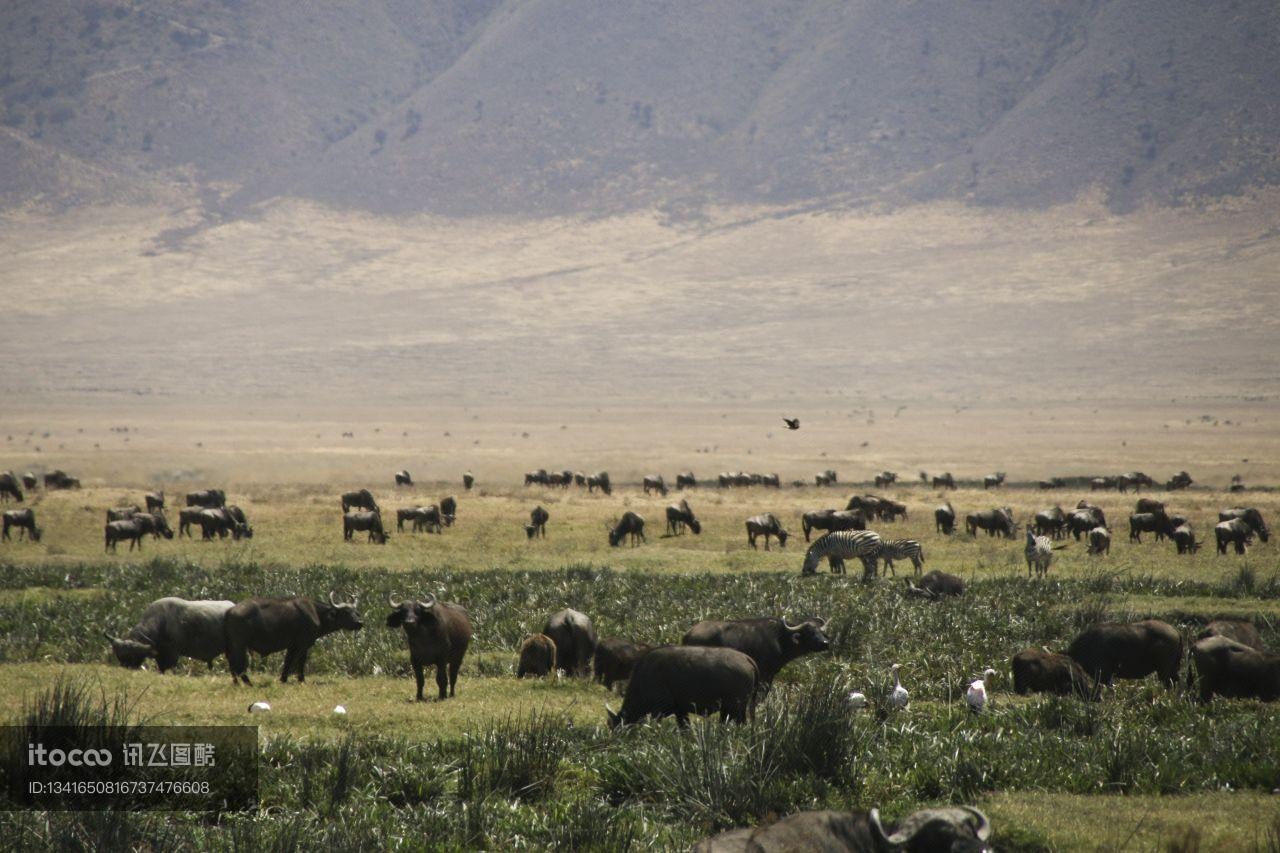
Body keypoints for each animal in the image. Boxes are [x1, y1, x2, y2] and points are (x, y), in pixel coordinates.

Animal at [104, 596, 235, 671]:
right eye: (119, 656)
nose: (126, 668)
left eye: (134, 656)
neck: (162, 623)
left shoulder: (172, 656)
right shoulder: (160, 656)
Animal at [222, 591, 363, 686]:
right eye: (346, 612)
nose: (359, 623)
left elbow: (288, 662)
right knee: (237, 664)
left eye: (356, 612)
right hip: (239, 645)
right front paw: (302, 680)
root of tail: (230, 611)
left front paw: (283, 679)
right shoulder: (303, 645)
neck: (317, 613)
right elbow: (300, 662)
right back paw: (248, 682)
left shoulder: (292, 646)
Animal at [680, 612, 829, 686]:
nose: (825, 643)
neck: (781, 638)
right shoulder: (765, 674)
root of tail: (689, 633)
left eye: (821, 631)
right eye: (809, 632)